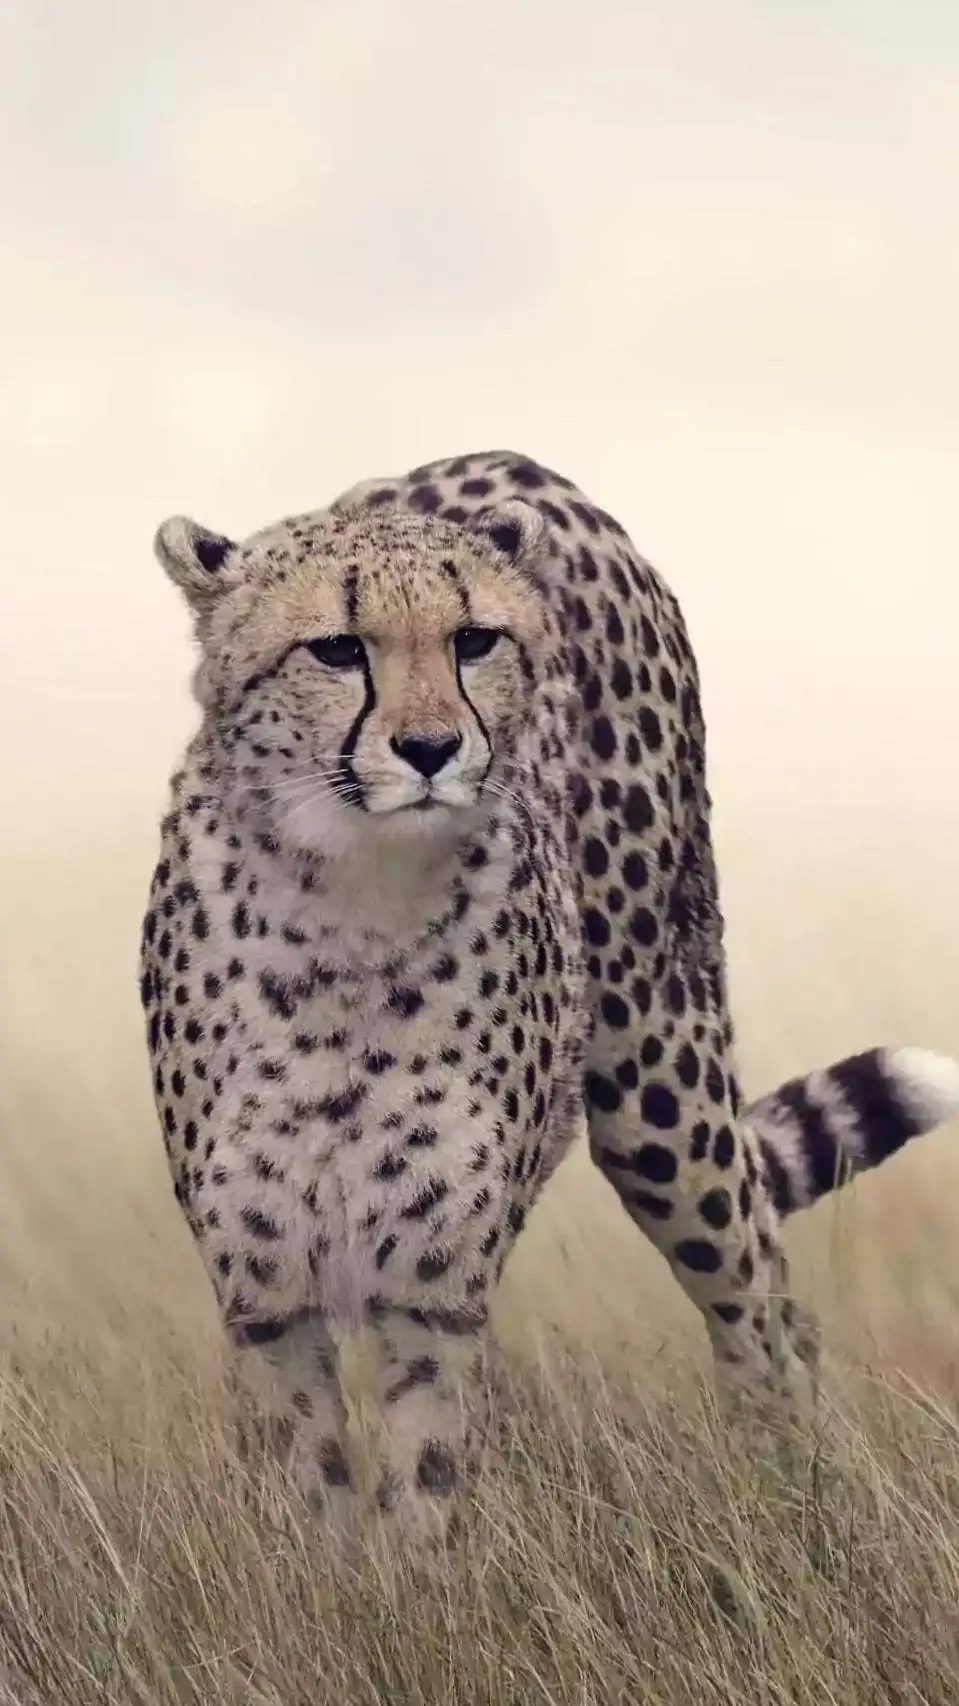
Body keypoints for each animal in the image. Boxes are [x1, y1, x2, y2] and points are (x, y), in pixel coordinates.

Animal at [139, 447, 959, 1542]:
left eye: (473, 639)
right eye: (337, 648)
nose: (431, 749)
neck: (352, 903)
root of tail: (506, 462)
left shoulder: (434, 1295)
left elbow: (424, 1498)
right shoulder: (266, 1302)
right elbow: (313, 1507)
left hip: (661, 1087)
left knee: (762, 1297)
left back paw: (798, 1500)